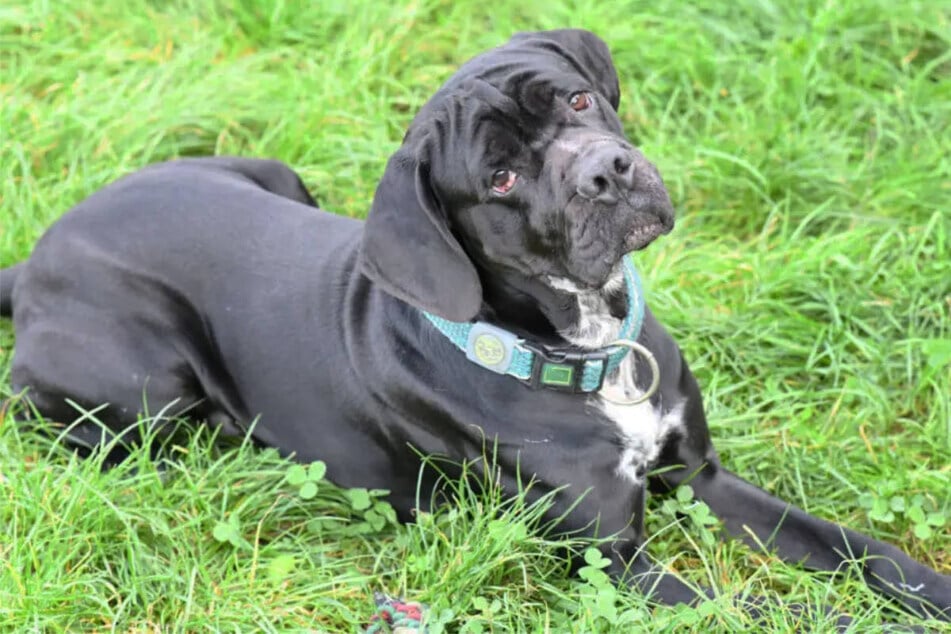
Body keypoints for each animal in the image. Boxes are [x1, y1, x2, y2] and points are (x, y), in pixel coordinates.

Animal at [1, 29, 951, 624]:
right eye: (498, 179)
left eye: (578, 100)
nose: (607, 172)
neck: (587, 346)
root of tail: (36, 255)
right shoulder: (612, 560)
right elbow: (780, 611)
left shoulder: (698, 476)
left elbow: (856, 551)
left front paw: (926, 592)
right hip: (146, 386)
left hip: (271, 171)